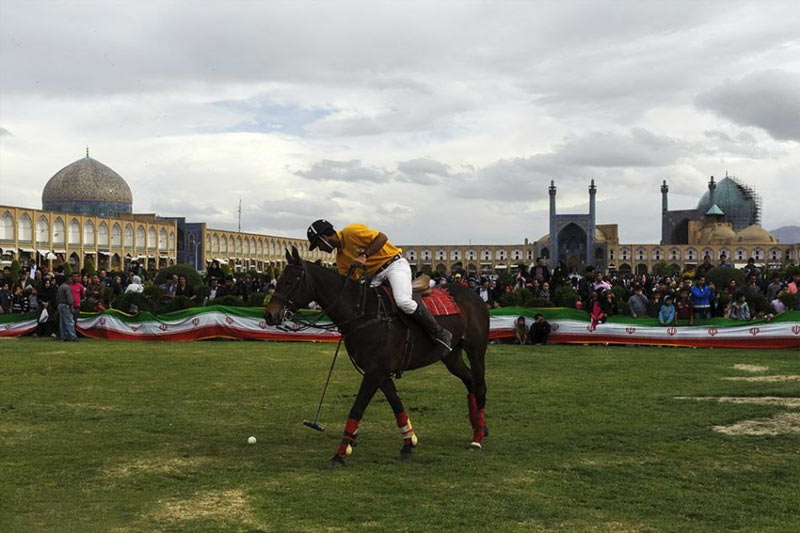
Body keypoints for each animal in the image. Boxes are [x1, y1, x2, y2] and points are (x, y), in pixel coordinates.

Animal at [264, 247, 488, 468]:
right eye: (280, 278)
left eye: (290, 281)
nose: (269, 315)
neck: (363, 313)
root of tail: (472, 294)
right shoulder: (381, 372)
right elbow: (396, 404)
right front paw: (408, 444)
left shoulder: (374, 372)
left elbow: (357, 408)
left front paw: (340, 454)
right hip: (450, 355)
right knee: (469, 380)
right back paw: (480, 427)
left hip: (476, 349)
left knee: (480, 385)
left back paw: (477, 438)